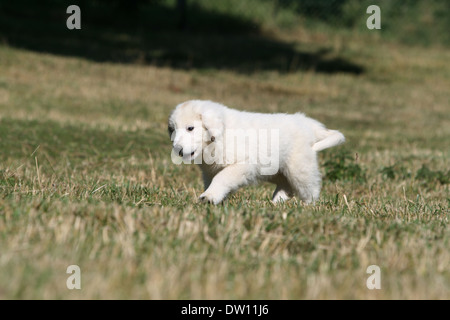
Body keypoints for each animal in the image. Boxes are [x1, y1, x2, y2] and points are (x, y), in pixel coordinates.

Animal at [168, 100, 344, 205]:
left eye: (190, 128)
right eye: (173, 129)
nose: (178, 149)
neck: (219, 135)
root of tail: (307, 122)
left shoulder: (242, 164)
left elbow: (222, 178)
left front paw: (209, 196)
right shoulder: (209, 171)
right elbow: (214, 181)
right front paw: (216, 197)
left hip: (299, 168)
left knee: (310, 188)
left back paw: (308, 207)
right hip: (275, 169)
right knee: (286, 185)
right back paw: (276, 203)